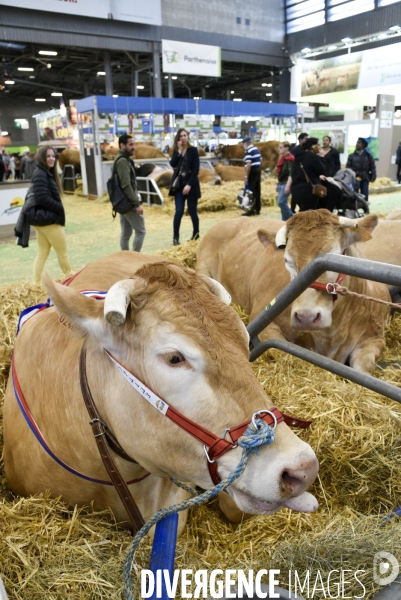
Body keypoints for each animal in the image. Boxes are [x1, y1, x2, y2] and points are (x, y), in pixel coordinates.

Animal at [197, 209, 390, 372]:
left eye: (337, 255)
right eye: (287, 260)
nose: (306, 317)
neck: (330, 337)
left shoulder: (376, 338)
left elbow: (364, 367)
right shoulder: (263, 321)